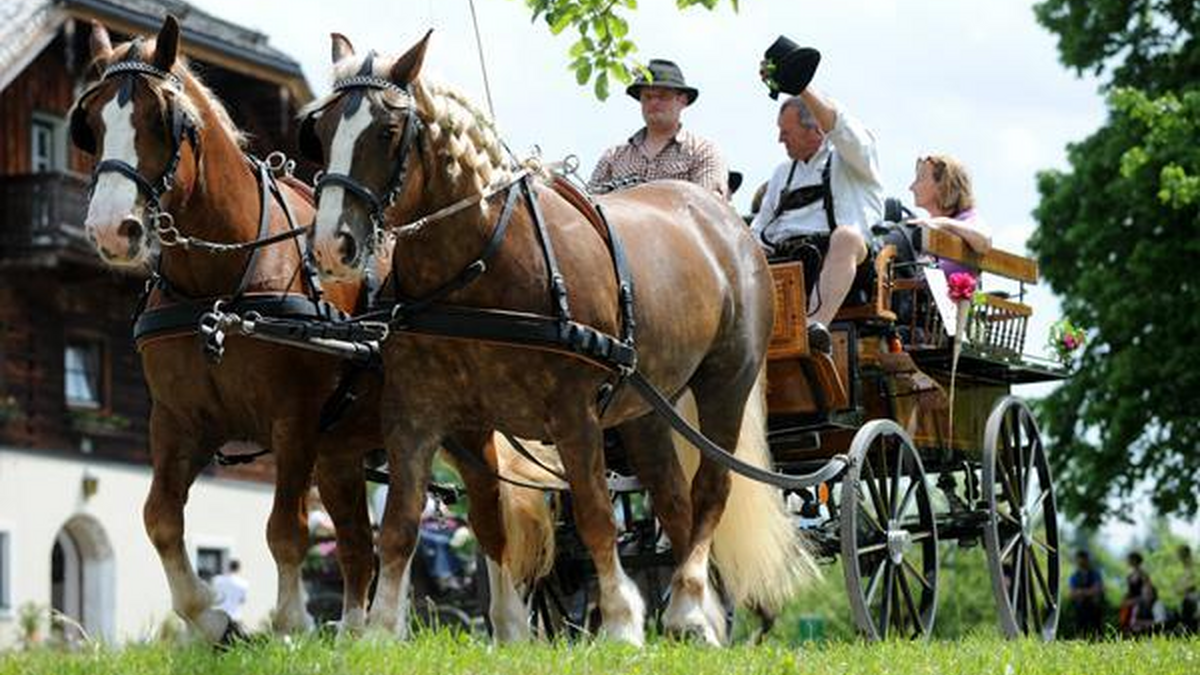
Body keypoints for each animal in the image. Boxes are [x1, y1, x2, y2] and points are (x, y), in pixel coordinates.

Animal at [69, 18, 552, 642]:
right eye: (92, 121)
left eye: (161, 118)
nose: (111, 230)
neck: (217, 287)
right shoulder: (178, 421)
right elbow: (161, 519)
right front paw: (211, 619)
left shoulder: (292, 421)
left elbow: (284, 530)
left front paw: (290, 624)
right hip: (341, 452)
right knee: (356, 546)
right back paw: (352, 633)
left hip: (460, 429)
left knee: (489, 515)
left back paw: (508, 625)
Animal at [302, 32, 816, 645]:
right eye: (321, 129)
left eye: (386, 130)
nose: (332, 248)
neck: (479, 266)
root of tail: (724, 222)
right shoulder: (417, 412)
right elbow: (403, 521)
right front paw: (379, 632)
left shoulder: (574, 412)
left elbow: (595, 515)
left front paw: (619, 622)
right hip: (645, 407)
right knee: (672, 498)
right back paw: (697, 615)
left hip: (726, 383)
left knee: (709, 491)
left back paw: (690, 604)